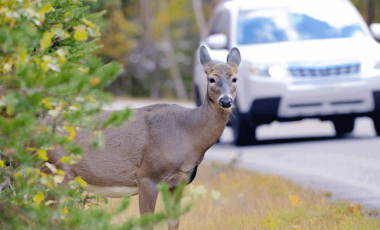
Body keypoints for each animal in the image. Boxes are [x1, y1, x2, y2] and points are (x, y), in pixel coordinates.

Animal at [45, 45, 240, 229]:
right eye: (212, 78)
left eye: (234, 78)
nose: (226, 101)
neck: (188, 134)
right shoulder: (147, 176)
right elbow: (147, 223)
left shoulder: (177, 183)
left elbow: (174, 222)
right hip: (57, 170)